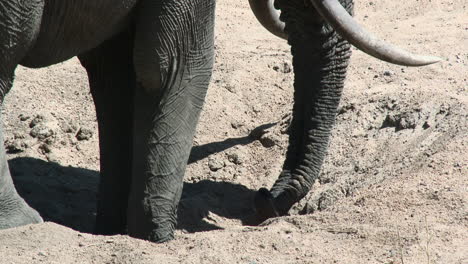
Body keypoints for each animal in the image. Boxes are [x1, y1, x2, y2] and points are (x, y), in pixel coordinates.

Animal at [0, 0, 438, 242]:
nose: (264, 200)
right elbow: (179, 65)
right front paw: (158, 239)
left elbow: (117, 76)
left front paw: (113, 231)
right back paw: (22, 223)